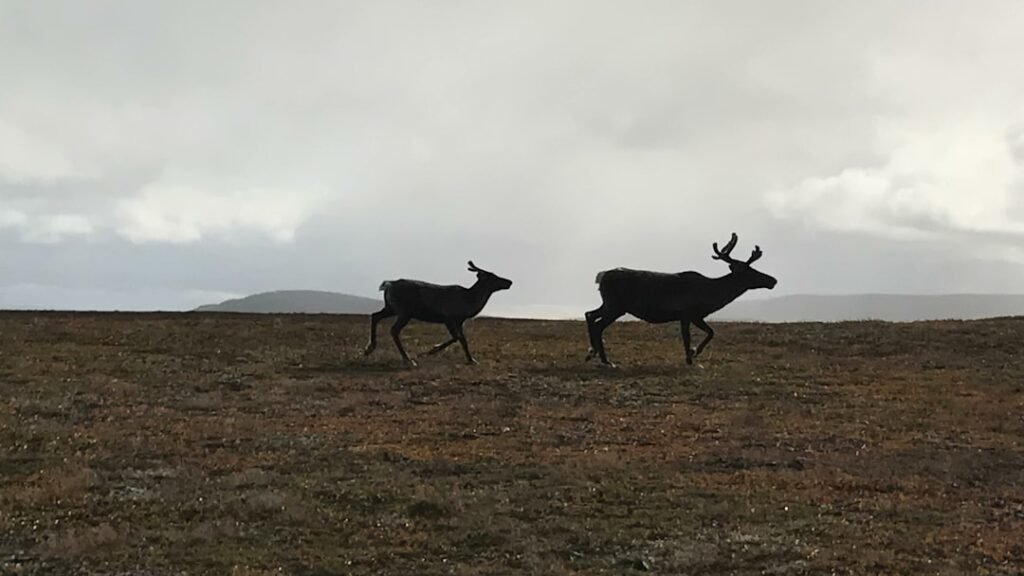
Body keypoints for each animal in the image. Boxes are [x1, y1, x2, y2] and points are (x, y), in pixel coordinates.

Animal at [363, 261, 513, 367]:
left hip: (391, 308)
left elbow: (463, 340)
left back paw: (369, 348)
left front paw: (471, 359)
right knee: (393, 330)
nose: (509, 281)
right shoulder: (449, 318)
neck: (470, 300)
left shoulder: (460, 321)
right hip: (405, 312)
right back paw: (408, 360)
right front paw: (433, 350)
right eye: (492, 277)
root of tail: (388, 285)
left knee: (375, 315)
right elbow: (456, 337)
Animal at [584, 233, 776, 367]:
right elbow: (689, 337)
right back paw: (605, 360)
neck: (712, 293)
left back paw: (591, 352)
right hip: (616, 306)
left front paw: (693, 354)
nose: (773, 280)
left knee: (589, 314)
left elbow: (711, 332)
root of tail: (601, 276)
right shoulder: (687, 312)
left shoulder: (695, 316)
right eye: (751, 272)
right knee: (598, 324)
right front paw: (692, 356)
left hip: (609, 304)